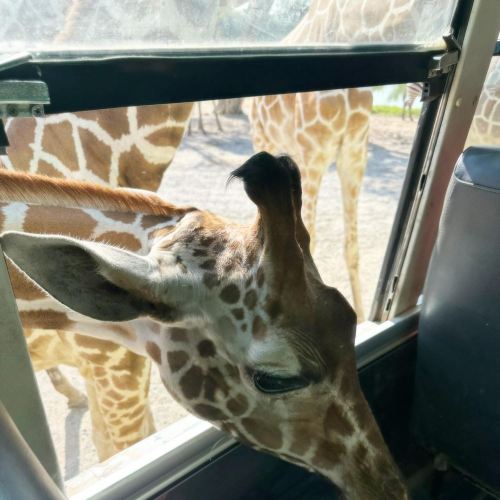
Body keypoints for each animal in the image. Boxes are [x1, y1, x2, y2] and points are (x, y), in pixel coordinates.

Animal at [250, 0, 457, 321]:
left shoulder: (354, 151)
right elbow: (307, 236)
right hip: (263, 135)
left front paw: (359, 313)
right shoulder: (314, 151)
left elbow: (352, 247)